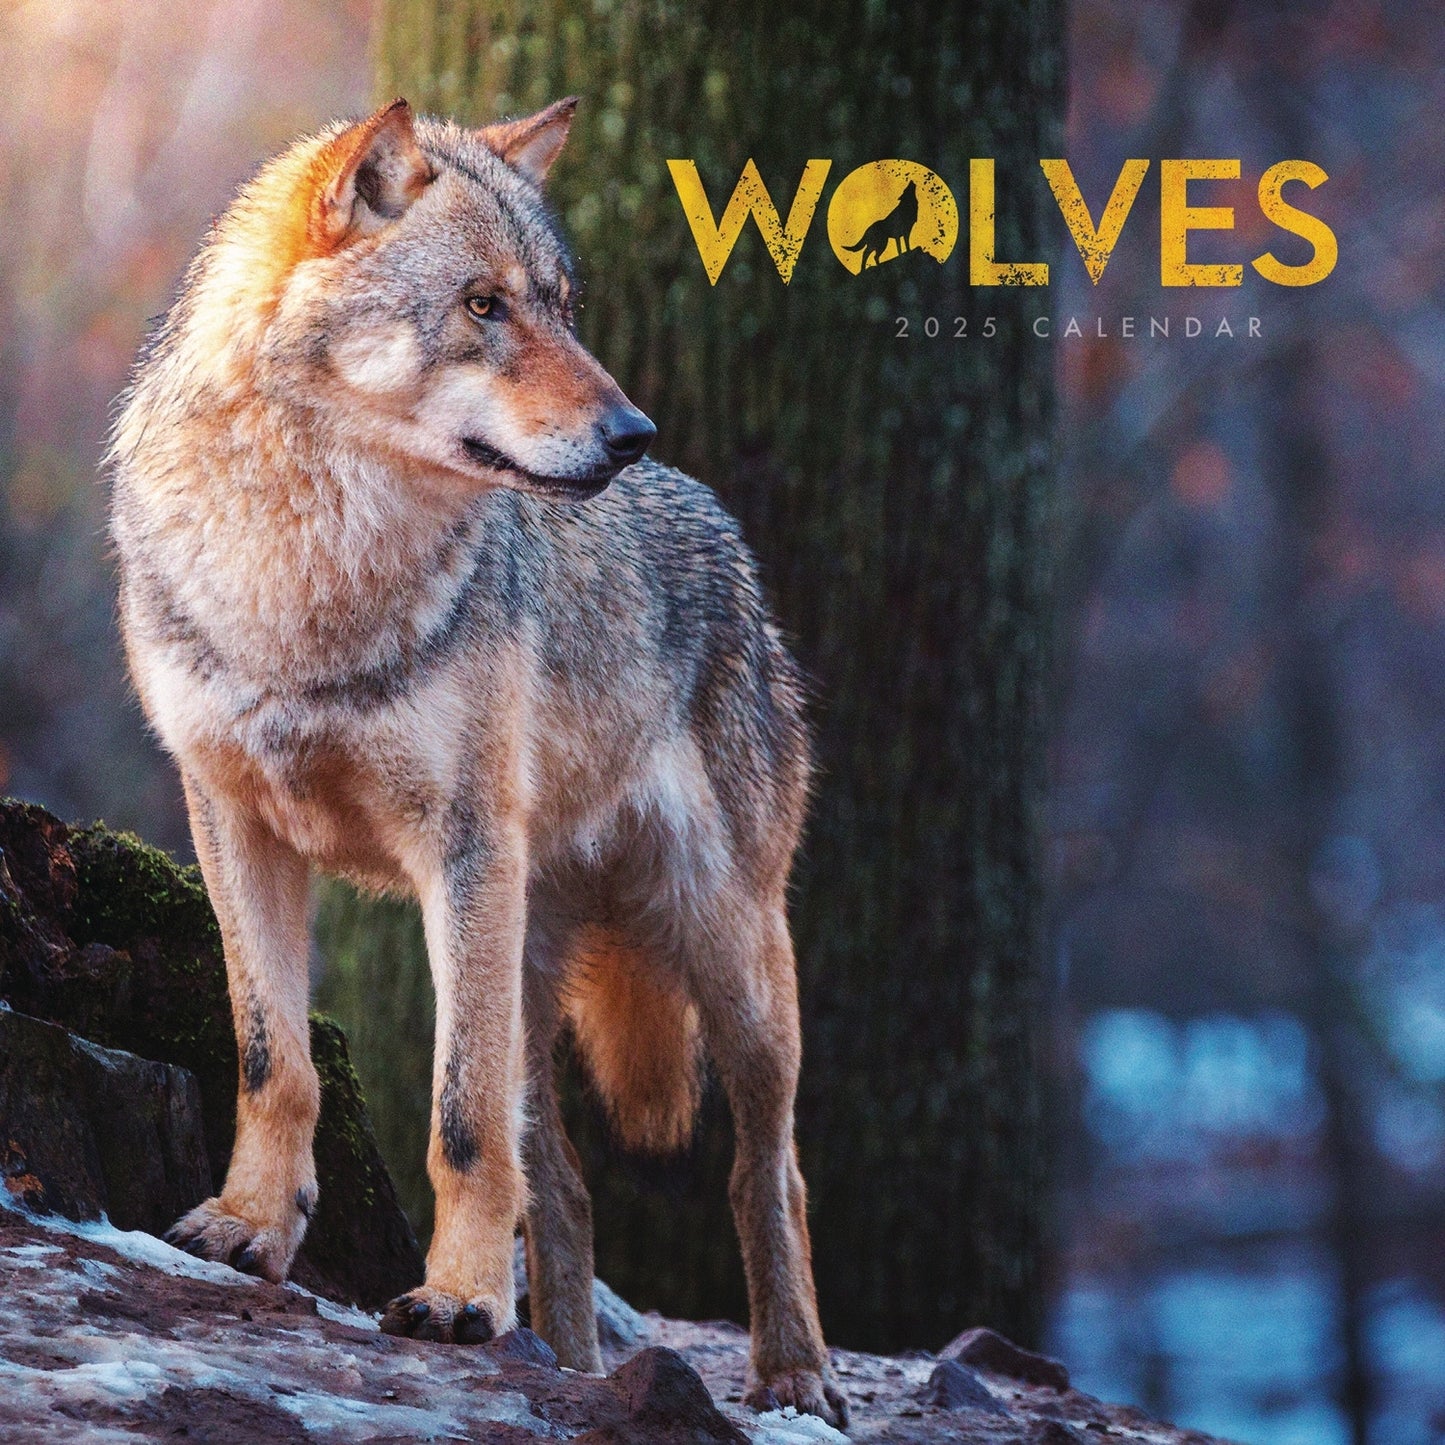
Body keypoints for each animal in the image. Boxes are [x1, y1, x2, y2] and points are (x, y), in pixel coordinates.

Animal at [108, 97, 845, 1425]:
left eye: (561, 302)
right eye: (483, 305)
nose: (629, 432)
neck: (310, 564)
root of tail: (717, 522)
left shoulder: (457, 849)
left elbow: (456, 1125)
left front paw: (452, 1302)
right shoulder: (230, 816)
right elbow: (270, 1056)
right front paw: (248, 1226)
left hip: (724, 955)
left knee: (768, 1170)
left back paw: (792, 1376)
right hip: (530, 956)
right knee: (560, 1178)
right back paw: (573, 1364)